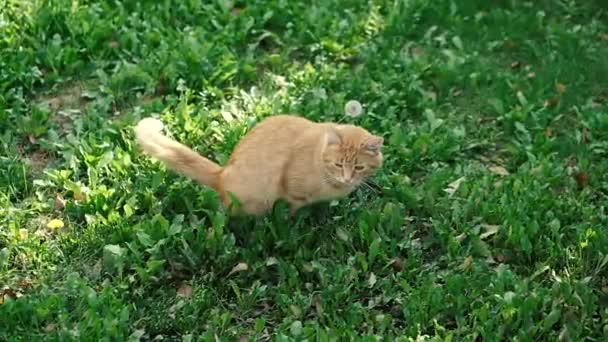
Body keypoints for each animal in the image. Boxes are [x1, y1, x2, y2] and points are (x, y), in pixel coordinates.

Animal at [137, 115, 384, 216]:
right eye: (338, 164)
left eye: (359, 168)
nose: (348, 178)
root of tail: (222, 175)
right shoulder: (292, 191)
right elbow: (292, 212)